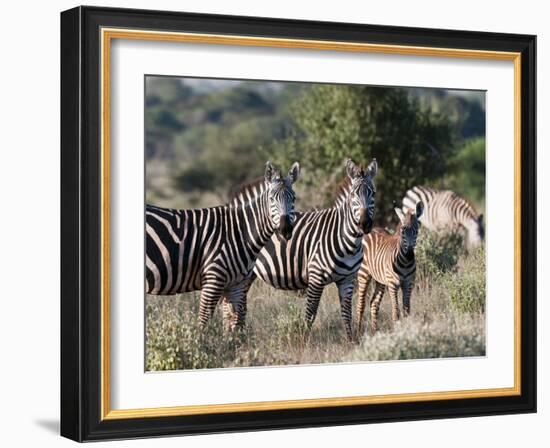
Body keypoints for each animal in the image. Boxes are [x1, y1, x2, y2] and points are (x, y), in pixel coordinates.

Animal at [147, 161, 302, 328]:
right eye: (272, 199)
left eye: (294, 199)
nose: (286, 229)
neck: (239, 232)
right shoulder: (213, 280)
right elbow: (204, 322)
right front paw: (199, 336)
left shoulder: (236, 285)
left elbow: (235, 324)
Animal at [224, 159, 380, 342]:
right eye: (354, 195)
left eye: (374, 193)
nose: (365, 224)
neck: (348, 241)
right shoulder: (316, 277)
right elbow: (310, 313)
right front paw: (304, 341)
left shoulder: (348, 279)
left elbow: (347, 313)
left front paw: (351, 342)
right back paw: (231, 336)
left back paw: (235, 335)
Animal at [356, 200, 424, 332]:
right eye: (402, 231)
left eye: (416, 231)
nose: (409, 255)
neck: (405, 263)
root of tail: (372, 229)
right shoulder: (393, 284)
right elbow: (396, 311)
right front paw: (397, 331)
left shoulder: (408, 283)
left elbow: (407, 310)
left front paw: (407, 329)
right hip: (363, 274)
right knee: (360, 305)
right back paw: (357, 333)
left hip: (380, 280)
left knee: (374, 303)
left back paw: (374, 331)